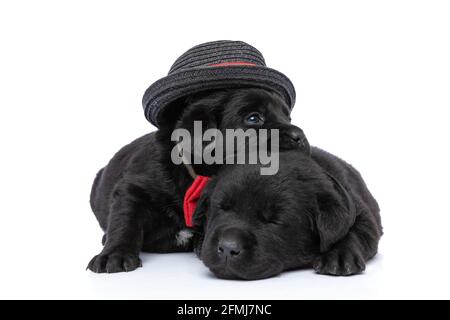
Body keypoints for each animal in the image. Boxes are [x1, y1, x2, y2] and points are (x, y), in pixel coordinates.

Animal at [88, 87, 310, 272]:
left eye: (288, 117)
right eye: (254, 118)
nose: (299, 135)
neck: (195, 176)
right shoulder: (133, 189)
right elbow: (125, 220)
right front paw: (114, 255)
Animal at [193, 149, 384, 278]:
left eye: (274, 221)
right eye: (222, 207)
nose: (227, 248)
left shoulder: (360, 210)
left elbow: (356, 231)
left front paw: (339, 257)